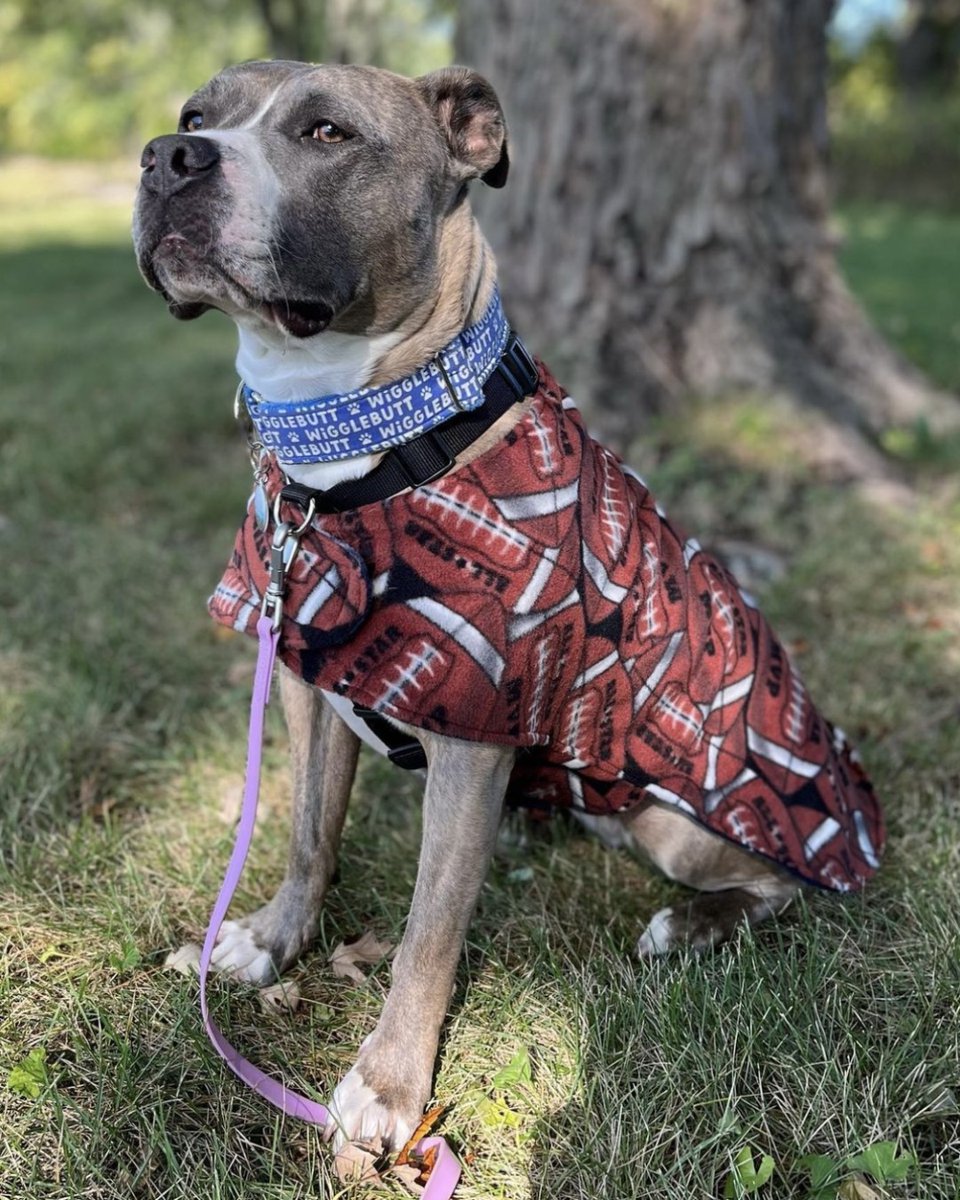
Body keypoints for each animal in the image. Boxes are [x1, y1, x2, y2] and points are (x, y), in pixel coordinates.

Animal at [133, 63, 883, 1152]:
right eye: (198, 114)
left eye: (327, 133)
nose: (167, 156)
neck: (356, 443)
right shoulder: (311, 689)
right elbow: (310, 833)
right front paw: (273, 941)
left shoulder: (470, 734)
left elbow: (427, 931)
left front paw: (389, 1086)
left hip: (698, 822)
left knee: (784, 888)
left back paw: (690, 926)